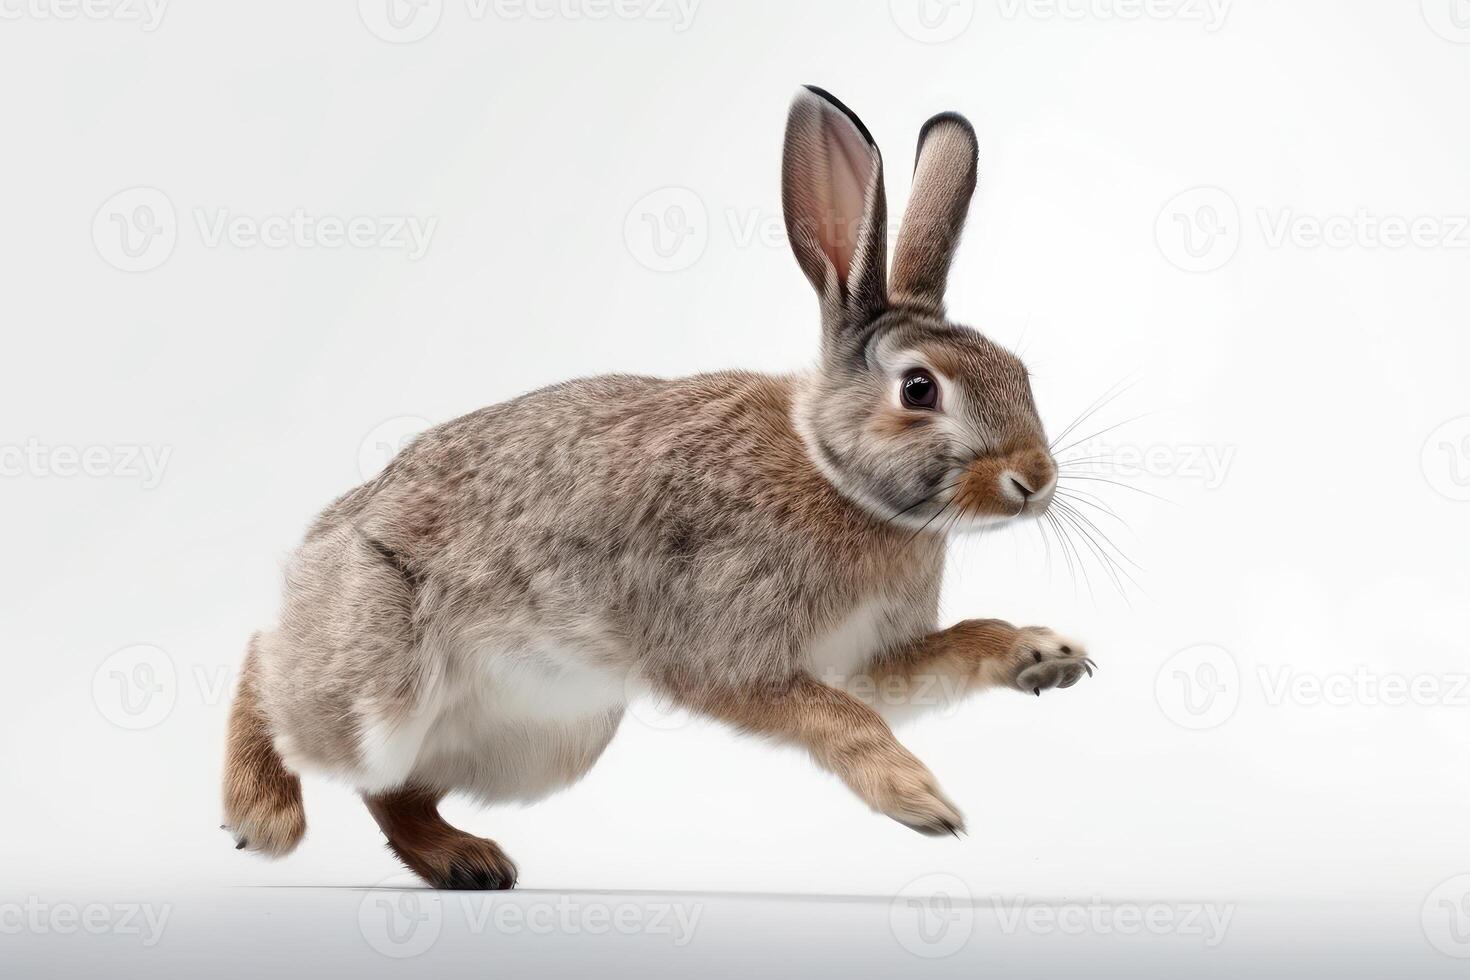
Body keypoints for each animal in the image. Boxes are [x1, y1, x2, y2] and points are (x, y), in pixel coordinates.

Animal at [217, 88, 1093, 893]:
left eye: (1018, 371)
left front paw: (1042, 655)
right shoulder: (726, 651)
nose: (1035, 480)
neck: (836, 477)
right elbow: (839, 717)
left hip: (548, 740)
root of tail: (321, 548)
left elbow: (930, 660)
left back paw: (463, 860)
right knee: (273, 676)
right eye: (919, 389)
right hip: (380, 683)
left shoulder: (866, 657)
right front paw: (917, 797)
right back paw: (263, 812)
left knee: (392, 791)